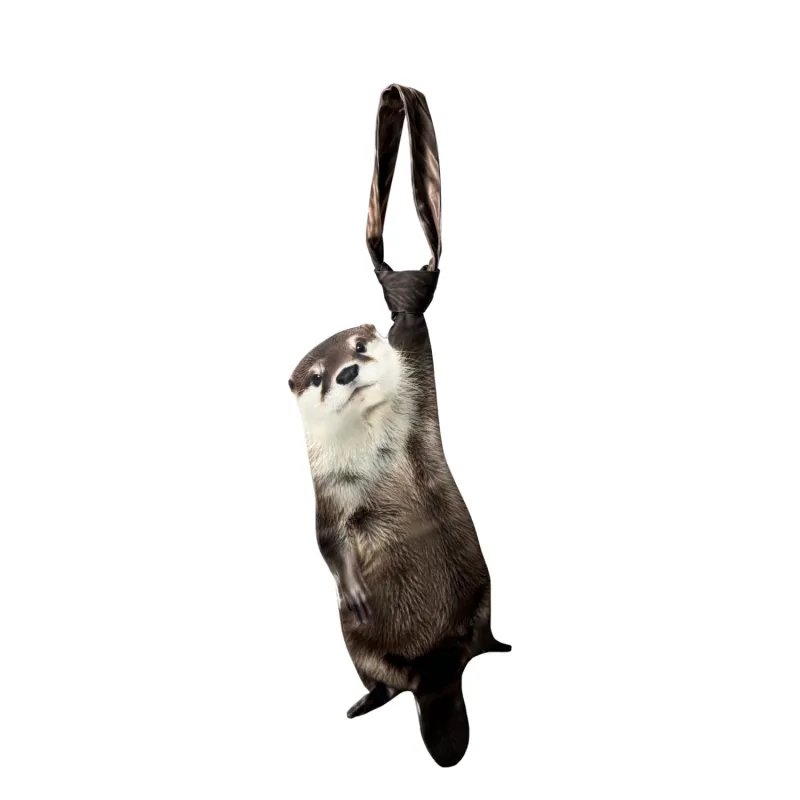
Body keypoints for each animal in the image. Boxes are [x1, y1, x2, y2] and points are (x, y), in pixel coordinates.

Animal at [289, 320, 510, 767]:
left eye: (359, 346)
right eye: (317, 377)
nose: (346, 372)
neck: (371, 458)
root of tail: (435, 672)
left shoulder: (420, 405)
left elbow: (420, 352)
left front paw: (406, 314)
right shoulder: (328, 496)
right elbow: (327, 542)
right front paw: (355, 589)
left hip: (481, 587)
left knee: (479, 635)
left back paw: (496, 646)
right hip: (353, 638)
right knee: (384, 679)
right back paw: (367, 701)